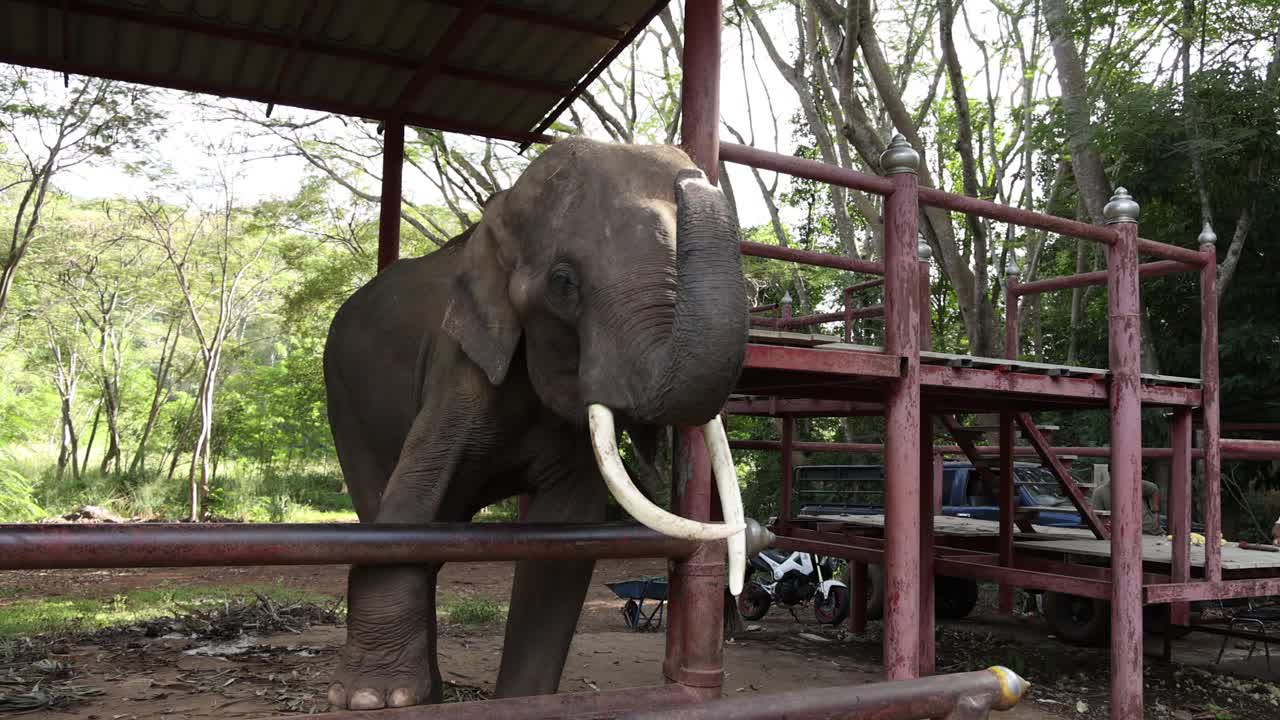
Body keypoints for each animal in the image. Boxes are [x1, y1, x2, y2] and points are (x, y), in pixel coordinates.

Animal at [320, 137, 752, 707]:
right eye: (564, 283)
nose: (693, 178)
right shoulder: (459, 362)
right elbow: (409, 501)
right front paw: (372, 699)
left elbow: (565, 534)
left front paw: (522, 700)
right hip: (344, 401)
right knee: (383, 503)